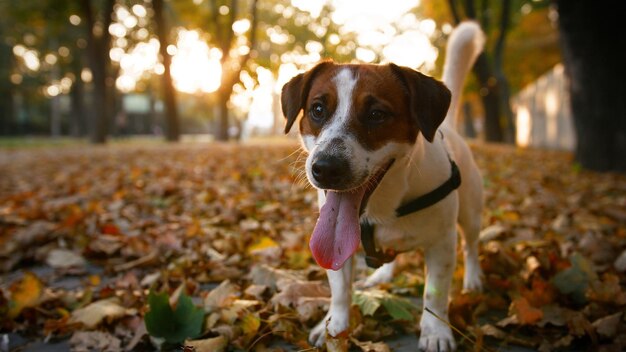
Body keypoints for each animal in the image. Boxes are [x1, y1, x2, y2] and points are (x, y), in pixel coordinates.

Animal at [280, 22, 486, 352]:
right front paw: (334, 328)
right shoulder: (337, 249)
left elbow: (435, 294)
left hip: (470, 214)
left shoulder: (442, 243)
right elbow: (340, 293)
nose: (325, 168)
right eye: (318, 109)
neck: (382, 206)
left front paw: (436, 331)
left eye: (377, 114)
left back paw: (474, 278)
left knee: (472, 246)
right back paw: (381, 276)